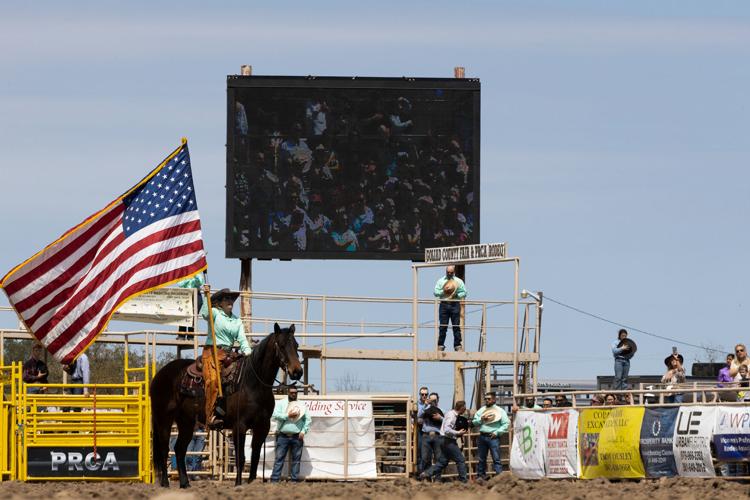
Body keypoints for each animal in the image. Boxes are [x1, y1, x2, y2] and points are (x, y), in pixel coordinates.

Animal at [151, 320, 304, 488]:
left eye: (296, 345)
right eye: (281, 345)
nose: (297, 371)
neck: (253, 383)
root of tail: (159, 375)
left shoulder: (262, 427)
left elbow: (256, 457)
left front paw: (250, 482)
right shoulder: (239, 426)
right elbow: (241, 458)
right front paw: (238, 484)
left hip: (186, 422)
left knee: (179, 449)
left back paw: (185, 483)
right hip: (164, 419)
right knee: (164, 449)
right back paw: (165, 482)